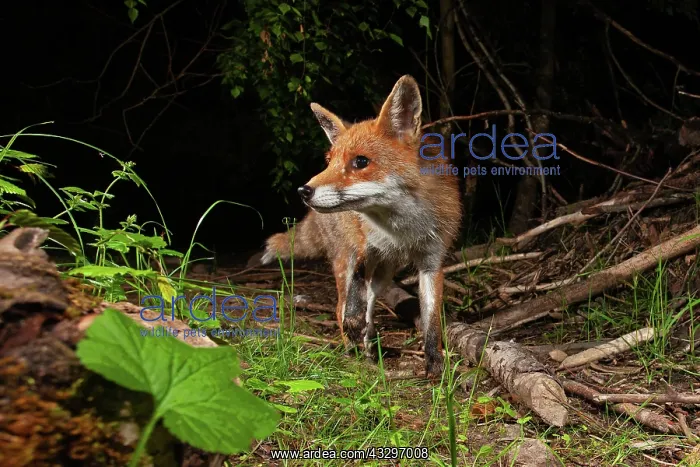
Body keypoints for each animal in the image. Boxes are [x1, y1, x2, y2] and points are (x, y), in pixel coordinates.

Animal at [259, 75, 462, 378]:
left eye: (361, 161)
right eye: (329, 161)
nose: (303, 191)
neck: (402, 228)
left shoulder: (431, 260)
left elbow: (432, 320)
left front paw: (435, 364)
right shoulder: (364, 243)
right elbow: (354, 297)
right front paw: (353, 327)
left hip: (386, 272)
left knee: (370, 300)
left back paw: (366, 347)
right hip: (346, 256)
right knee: (341, 305)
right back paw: (352, 348)